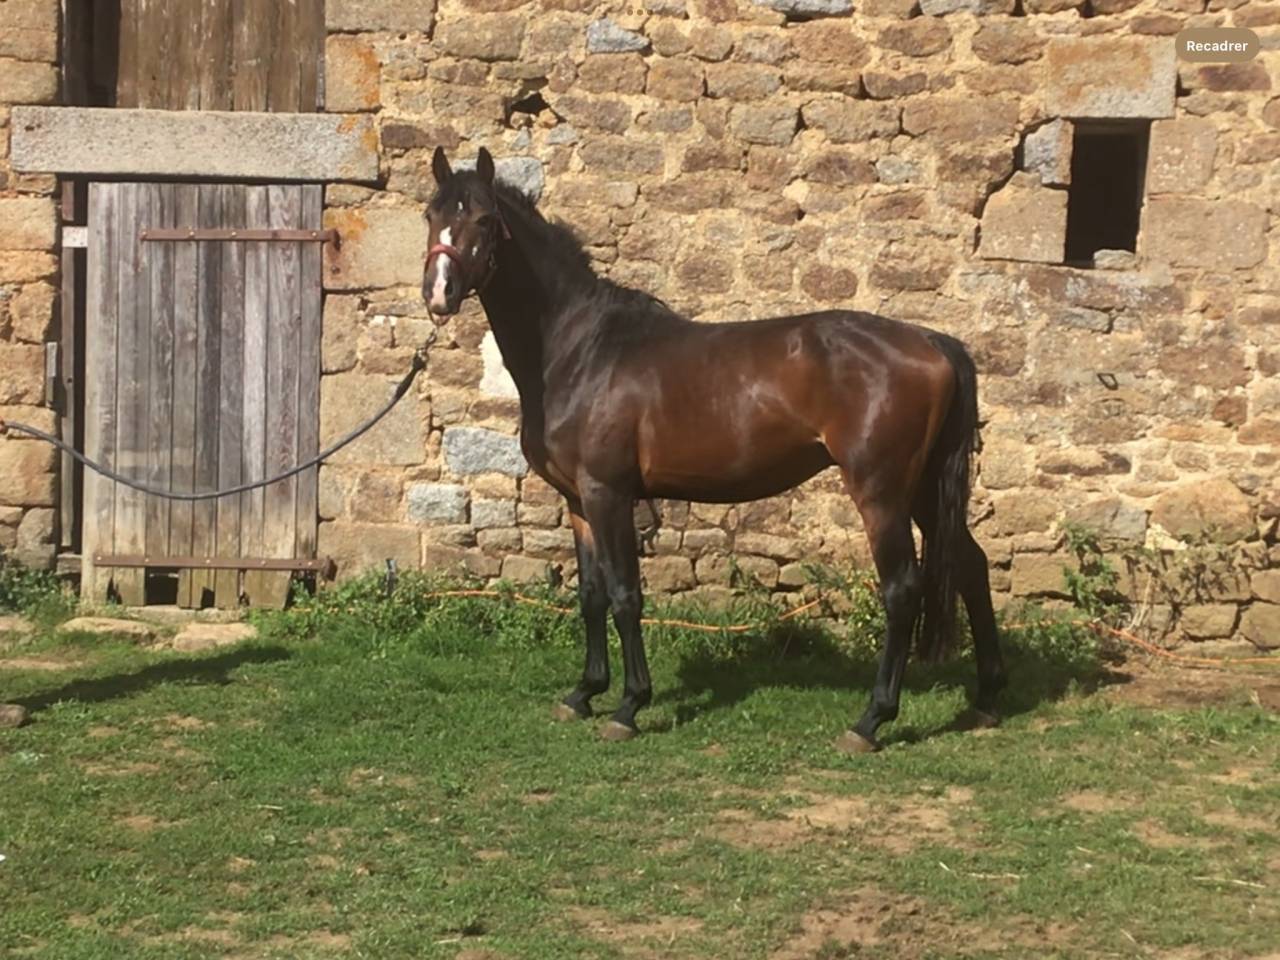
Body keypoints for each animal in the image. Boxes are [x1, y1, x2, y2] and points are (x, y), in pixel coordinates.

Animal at [421, 147, 1006, 753]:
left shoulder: (609, 495)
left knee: (901, 589)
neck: (580, 350)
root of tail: (932, 342)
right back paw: (987, 699)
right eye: (430, 214)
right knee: (971, 565)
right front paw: (583, 693)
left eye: (484, 219)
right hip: (923, 489)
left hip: (882, 492)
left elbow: (626, 594)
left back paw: (870, 720)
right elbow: (591, 595)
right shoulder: (578, 501)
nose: (438, 294)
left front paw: (629, 706)